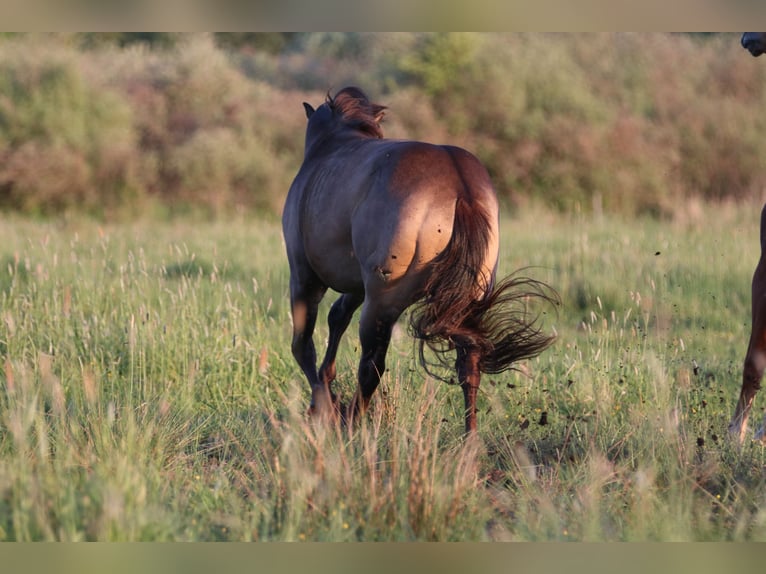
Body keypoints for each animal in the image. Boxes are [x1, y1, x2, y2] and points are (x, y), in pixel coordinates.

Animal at [282, 86, 557, 434]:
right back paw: (469, 438)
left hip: (381, 302)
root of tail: (461, 189)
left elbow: (303, 344)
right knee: (469, 365)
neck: (332, 144)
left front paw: (323, 407)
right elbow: (337, 318)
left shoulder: (305, 277)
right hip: (461, 300)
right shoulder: (357, 285)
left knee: (371, 366)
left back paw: (351, 423)